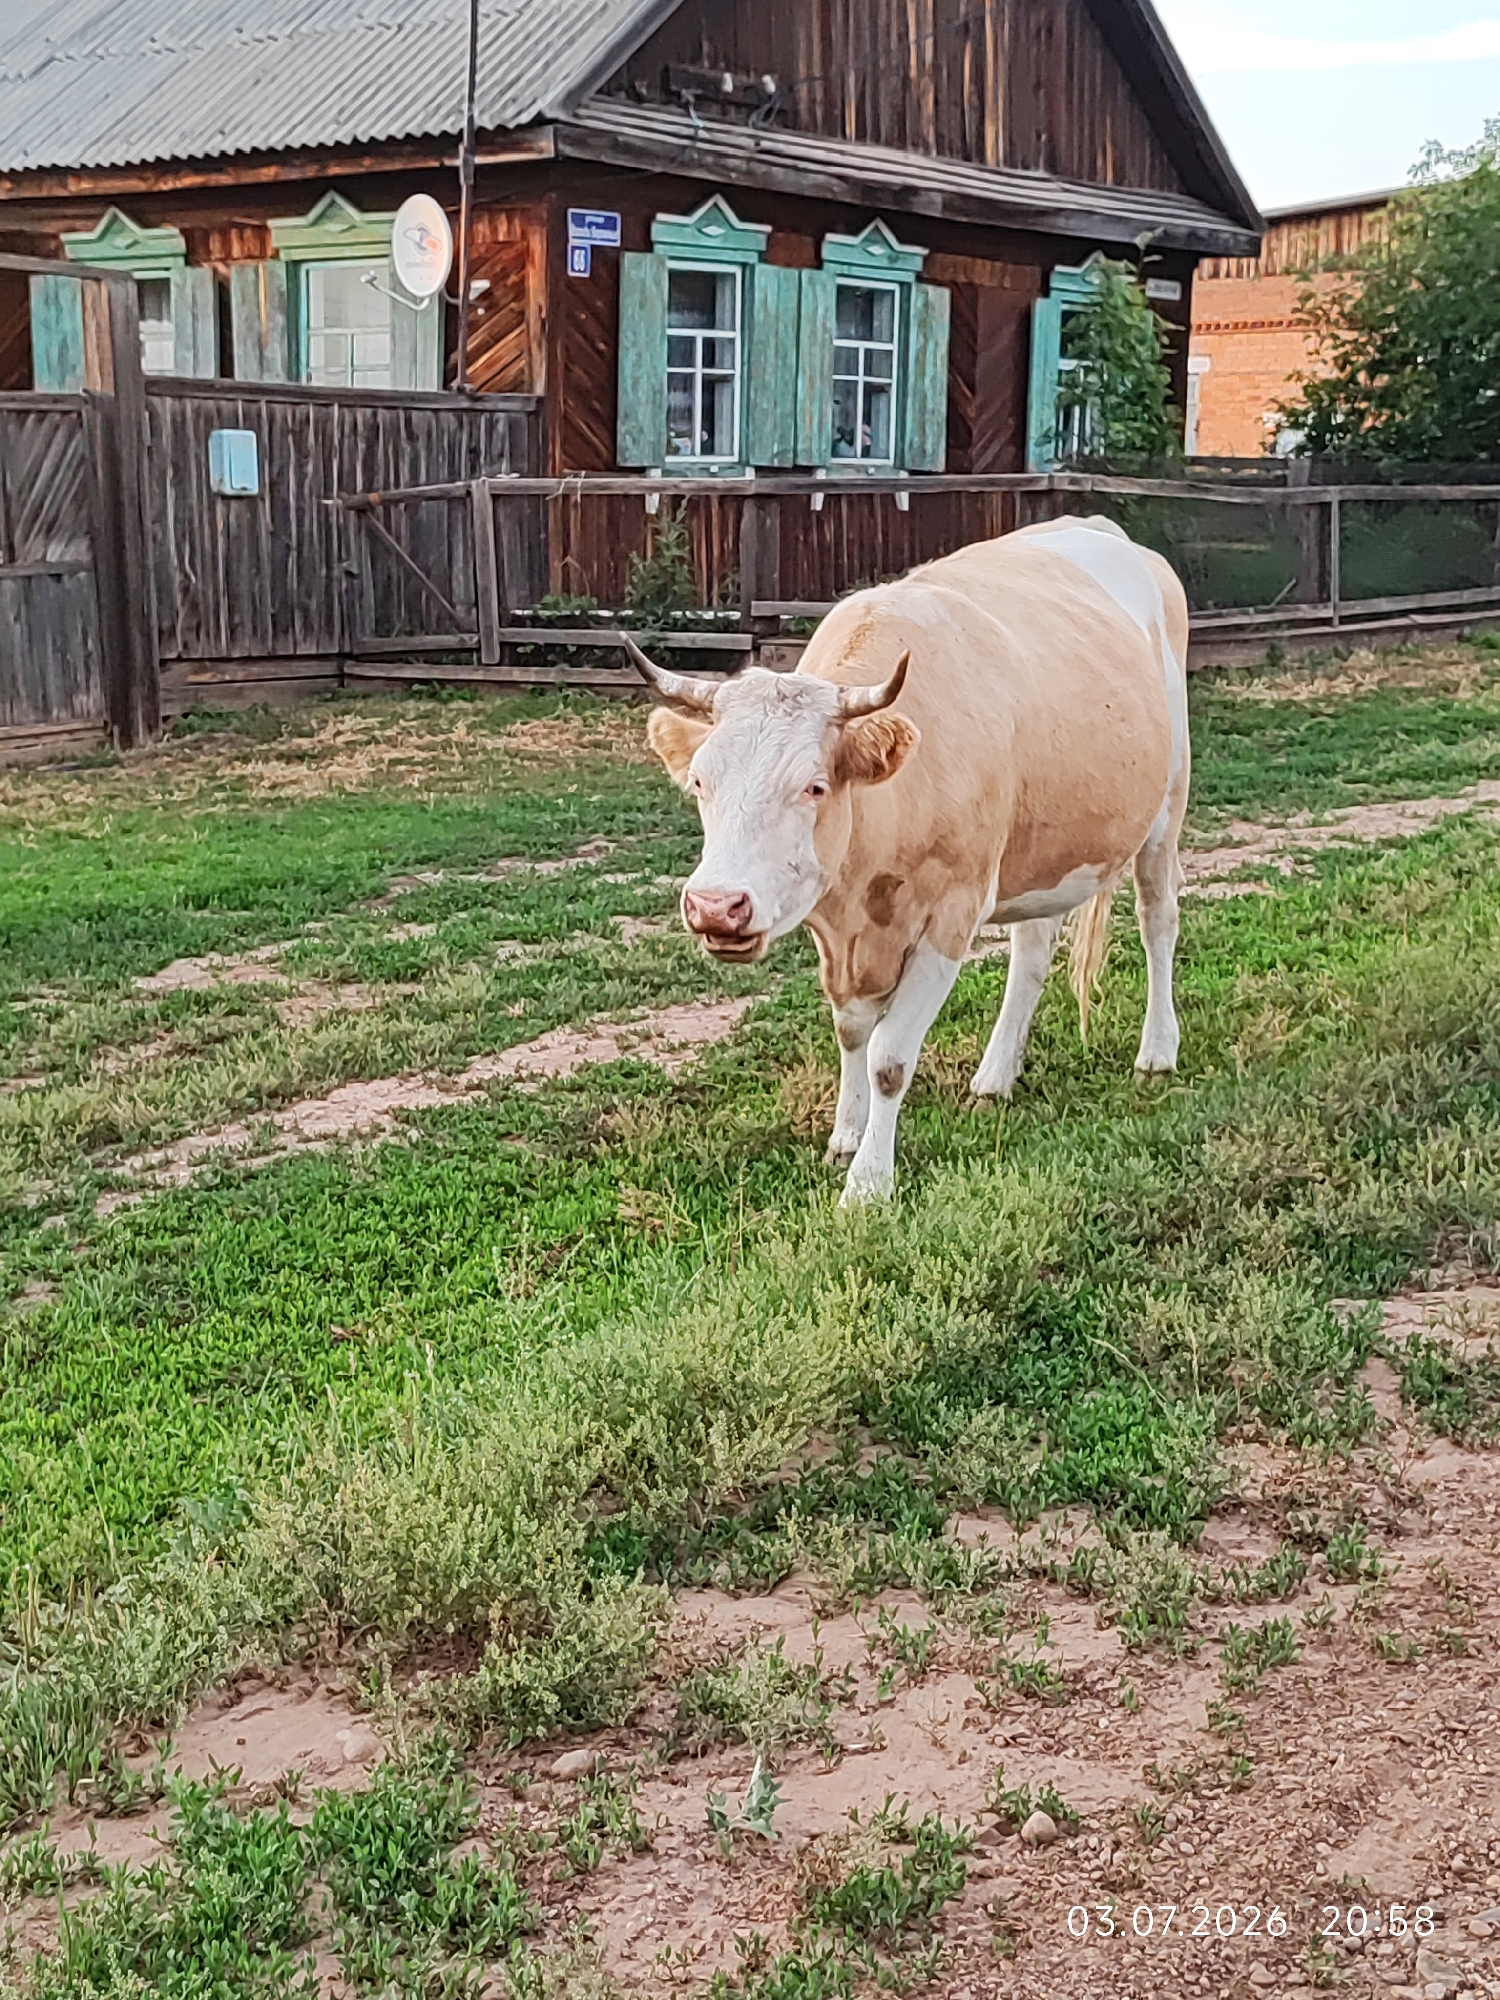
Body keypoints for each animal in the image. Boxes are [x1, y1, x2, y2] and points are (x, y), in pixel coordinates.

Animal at [627, 516, 1191, 1200]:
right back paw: (997, 1074)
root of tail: (1104, 530)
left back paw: (1157, 1051)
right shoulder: (837, 930)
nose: (716, 906)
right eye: (700, 781)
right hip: (1040, 845)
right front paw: (845, 1137)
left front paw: (870, 1182)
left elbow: (889, 1058)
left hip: (1166, 805)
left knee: (1158, 919)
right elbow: (850, 1032)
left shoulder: (951, 916)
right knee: (1033, 950)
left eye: (815, 787)